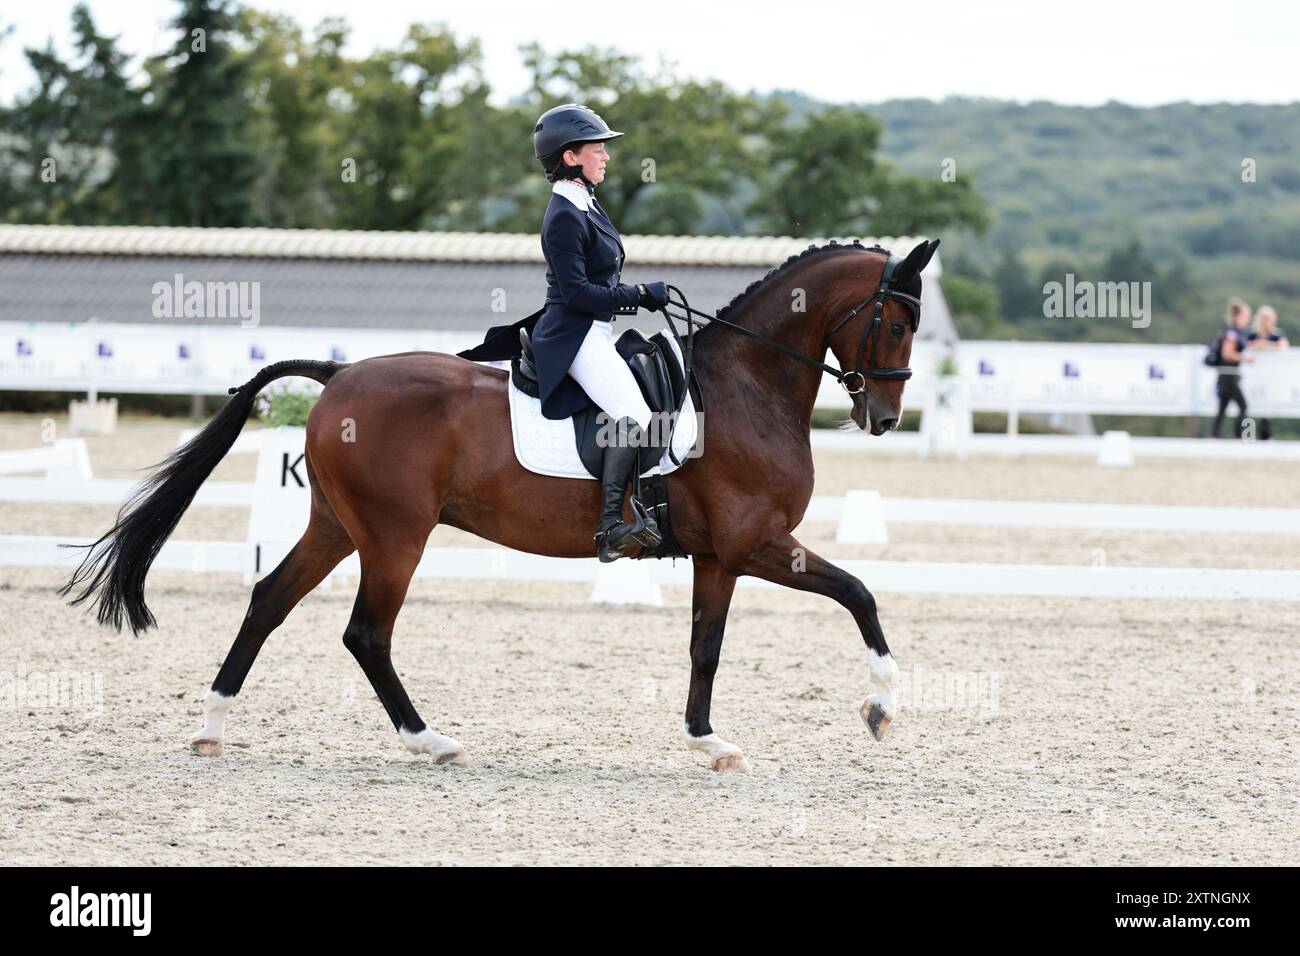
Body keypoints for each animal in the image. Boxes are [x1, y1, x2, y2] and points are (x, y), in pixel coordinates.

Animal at [61, 235, 941, 775]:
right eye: (897, 323)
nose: (886, 416)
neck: (744, 387)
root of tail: (337, 375)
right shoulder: (758, 542)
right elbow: (860, 594)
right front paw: (881, 707)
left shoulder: (720, 556)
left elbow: (706, 649)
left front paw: (710, 742)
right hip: (395, 536)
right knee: (366, 633)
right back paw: (434, 743)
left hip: (336, 526)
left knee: (268, 599)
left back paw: (211, 727)